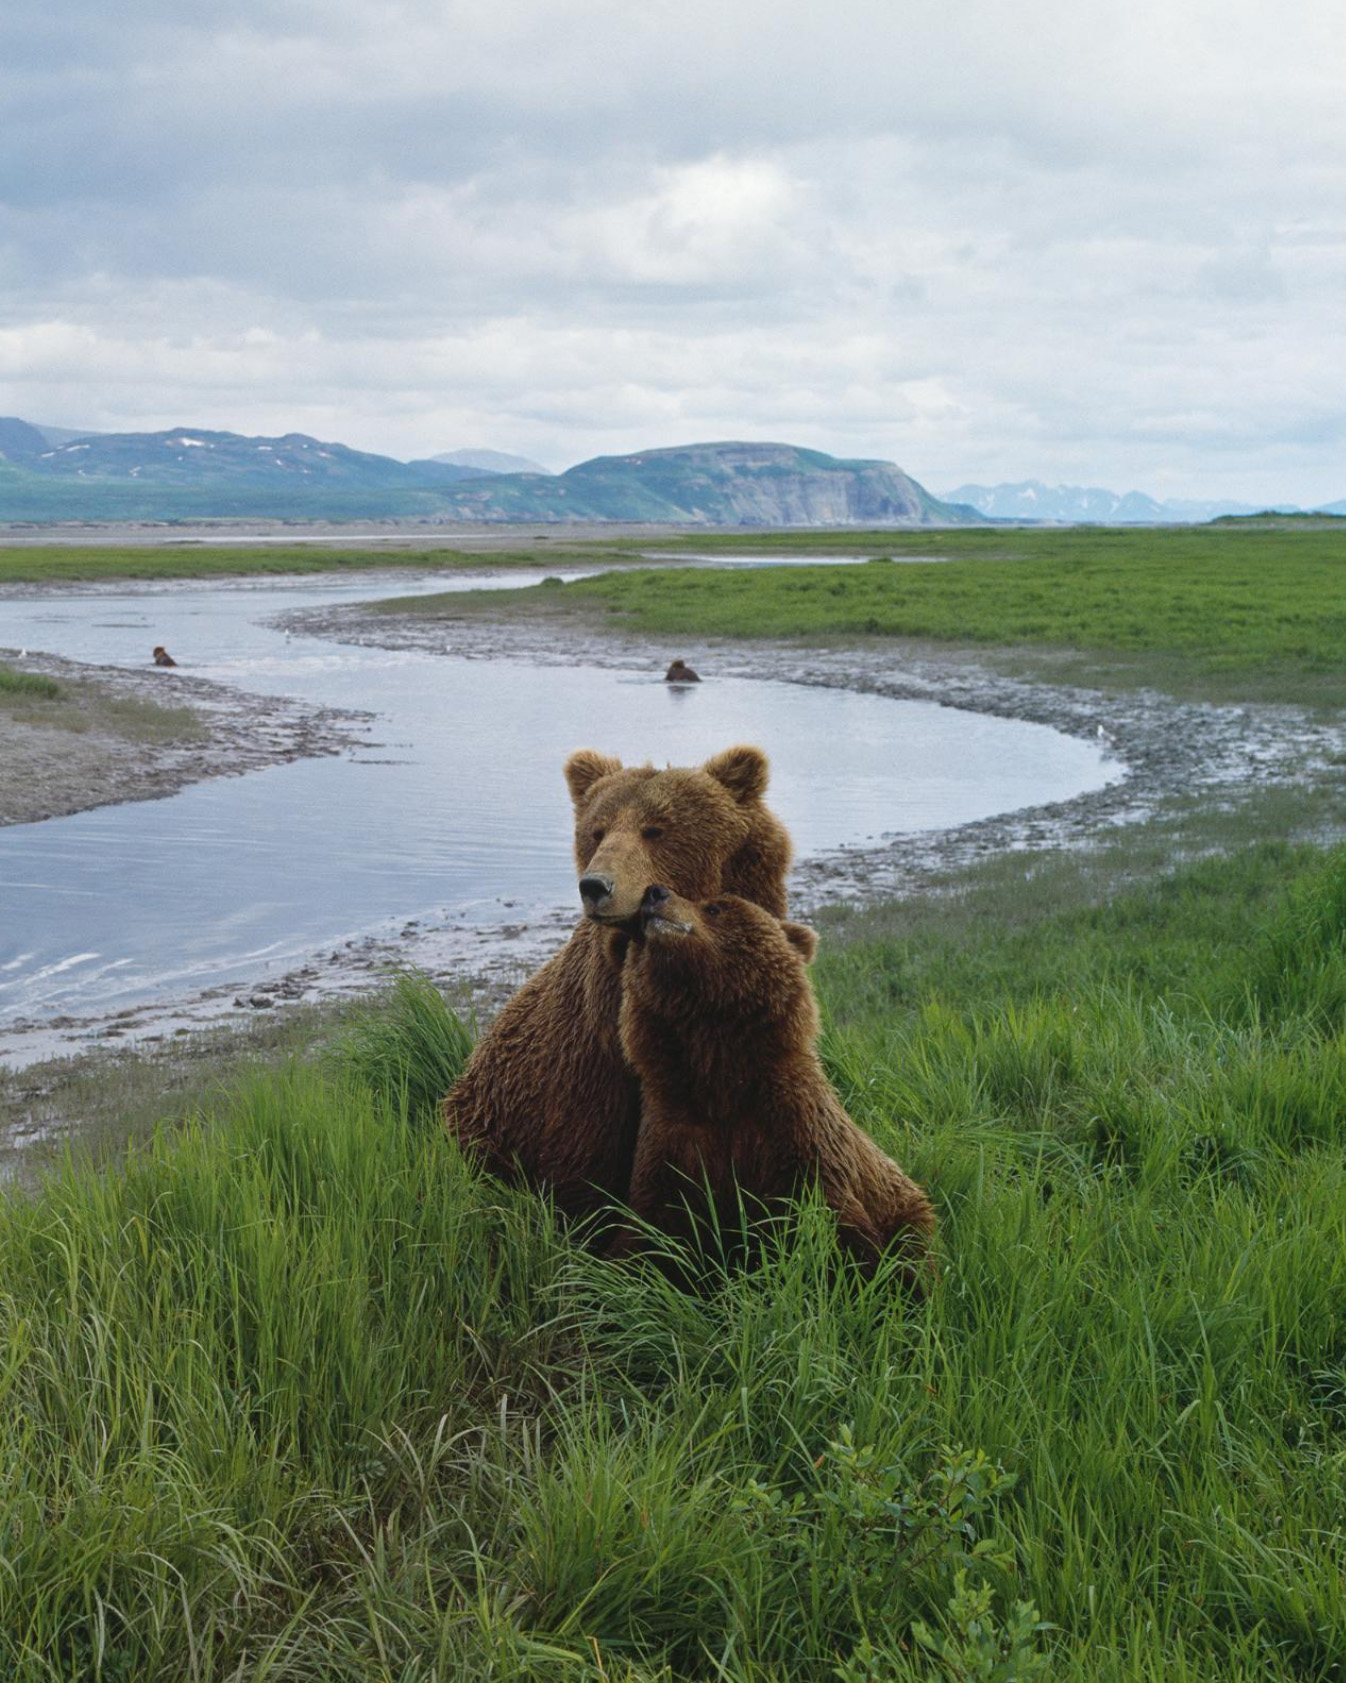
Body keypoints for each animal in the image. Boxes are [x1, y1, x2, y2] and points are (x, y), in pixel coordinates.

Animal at [612, 888, 935, 1279]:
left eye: (714, 907)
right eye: (638, 936)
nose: (653, 894)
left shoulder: (794, 1129)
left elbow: (831, 1223)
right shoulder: (675, 1135)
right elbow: (654, 1233)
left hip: (906, 1207)